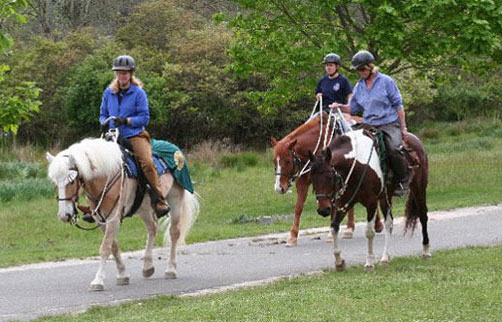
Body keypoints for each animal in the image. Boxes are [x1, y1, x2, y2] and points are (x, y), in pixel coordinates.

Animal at [46, 138, 200, 292]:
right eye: (54, 182)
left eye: (71, 181)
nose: (64, 215)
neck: (104, 175)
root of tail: (176, 151)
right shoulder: (101, 220)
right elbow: (113, 246)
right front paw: (122, 275)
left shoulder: (113, 218)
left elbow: (105, 247)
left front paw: (98, 281)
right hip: (144, 208)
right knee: (152, 228)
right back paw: (147, 267)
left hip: (175, 199)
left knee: (174, 233)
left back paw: (170, 269)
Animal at [272, 114, 382, 245]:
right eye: (274, 161)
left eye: (288, 161)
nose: (279, 188)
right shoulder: (304, 181)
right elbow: (298, 207)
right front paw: (293, 236)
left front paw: (330, 234)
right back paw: (351, 228)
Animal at [308, 128, 430, 272]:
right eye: (312, 178)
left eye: (329, 176)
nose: (323, 210)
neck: (356, 166)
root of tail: (416, 140)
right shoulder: (345, 202)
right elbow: (334, 227)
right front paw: (339, 262)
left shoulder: (371, 203)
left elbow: (369, 232)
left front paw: (370, 262)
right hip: (385, 198)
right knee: (389, 223)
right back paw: (385, 257)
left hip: (419, 188)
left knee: (423, 216)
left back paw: (426, 251)